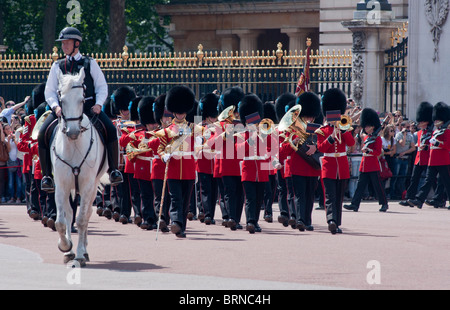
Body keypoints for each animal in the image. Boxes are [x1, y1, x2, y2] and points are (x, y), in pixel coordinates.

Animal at [51, 68, 108, 266]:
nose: (73, 132)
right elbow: (61, 220)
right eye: (61, 99)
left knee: (87, 213)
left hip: (91, 187)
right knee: (69, 213)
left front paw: (81, 254)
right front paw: (65, 246)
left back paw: (83, 250)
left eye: (82, 99)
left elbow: (82, 219)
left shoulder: (87, 185)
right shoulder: (61, 185)